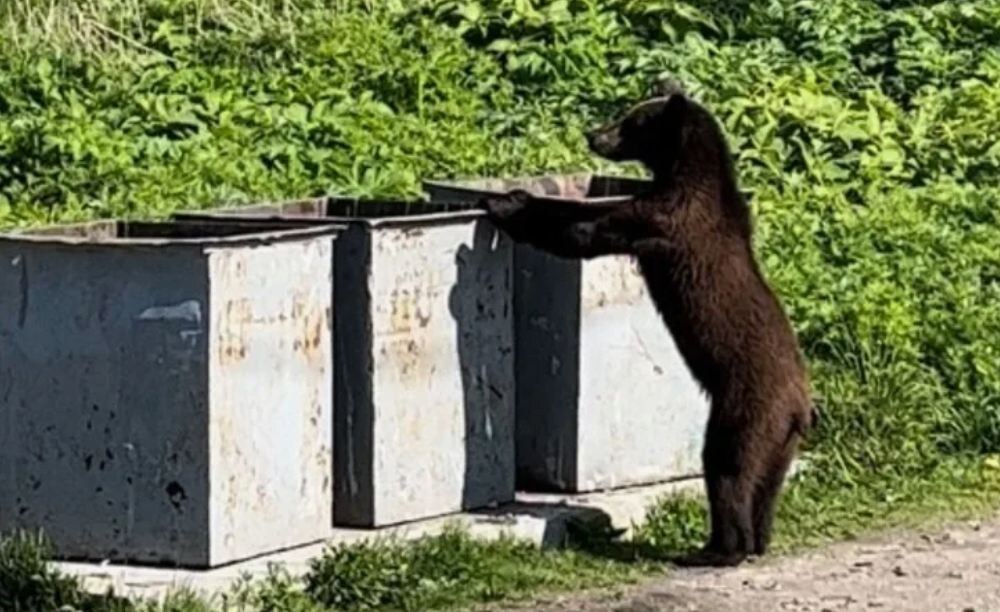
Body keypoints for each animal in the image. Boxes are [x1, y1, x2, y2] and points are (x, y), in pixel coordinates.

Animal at [480, 81, 816, 567]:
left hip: (748, 407)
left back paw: (715, 549)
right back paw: (756, 541)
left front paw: (503, 205)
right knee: (766, 485)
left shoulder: (665, 219)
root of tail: (800, 406)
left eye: (630, 121)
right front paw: (516, 195)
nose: (592, 134)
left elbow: (585, 232)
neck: (684, 172)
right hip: (781, 443)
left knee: (727, 467)